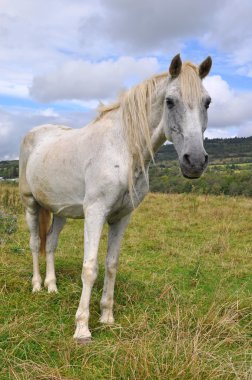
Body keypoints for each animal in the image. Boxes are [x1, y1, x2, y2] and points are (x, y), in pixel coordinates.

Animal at [19, 55, 212, 342]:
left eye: (207, 101)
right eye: (170, 101)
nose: (195, 161)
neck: (123, 150)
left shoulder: (121, 217)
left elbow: (111, 265)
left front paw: (107, 317)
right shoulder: (96, 212)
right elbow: (90, 268)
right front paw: (82, 329)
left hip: (60, 211)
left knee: (50, 244)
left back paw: (52, 287)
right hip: (31, 204)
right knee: (34, 244)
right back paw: (36, 286)